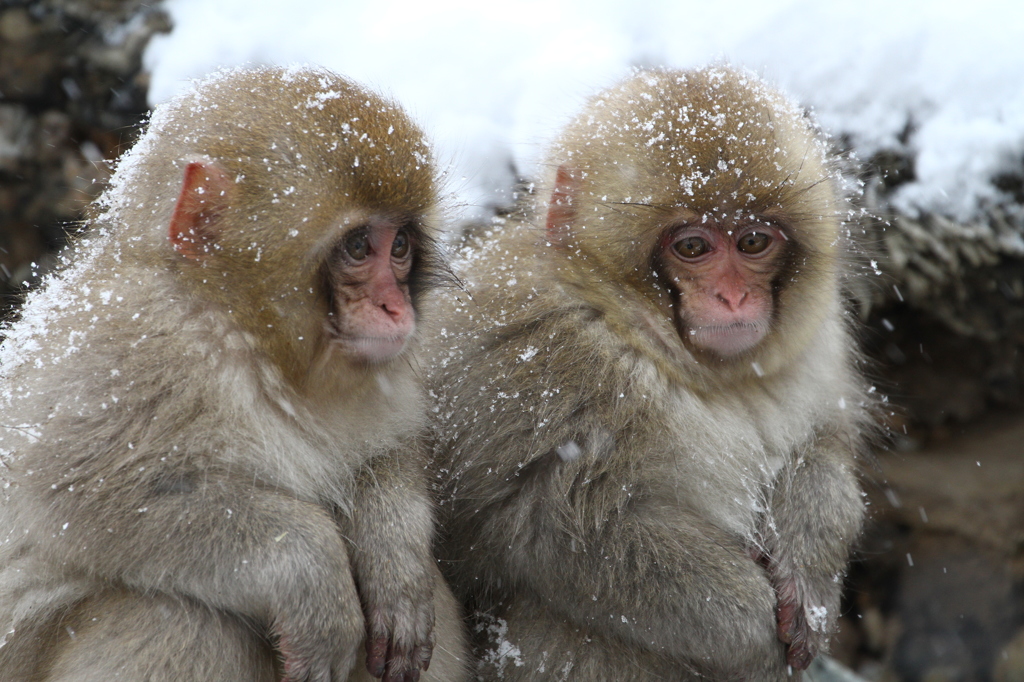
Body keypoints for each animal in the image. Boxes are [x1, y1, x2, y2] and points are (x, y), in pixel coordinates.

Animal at [0, 65, 468, 679]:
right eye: (359, 246)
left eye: (402, 247)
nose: (397, 309)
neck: (248, 338)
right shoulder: (125, 360)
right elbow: (82, 497)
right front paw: (311, 573)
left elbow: (384, 456)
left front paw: (396, 562)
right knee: (182, 620)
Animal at [423, 65, 872, 679]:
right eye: (693, 247)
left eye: (753, 240)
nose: (733, 298)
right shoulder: (538, 365)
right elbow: (565, 533)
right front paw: (753, 629)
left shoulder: (819, 350)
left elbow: (823, 446)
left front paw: (810, 577)